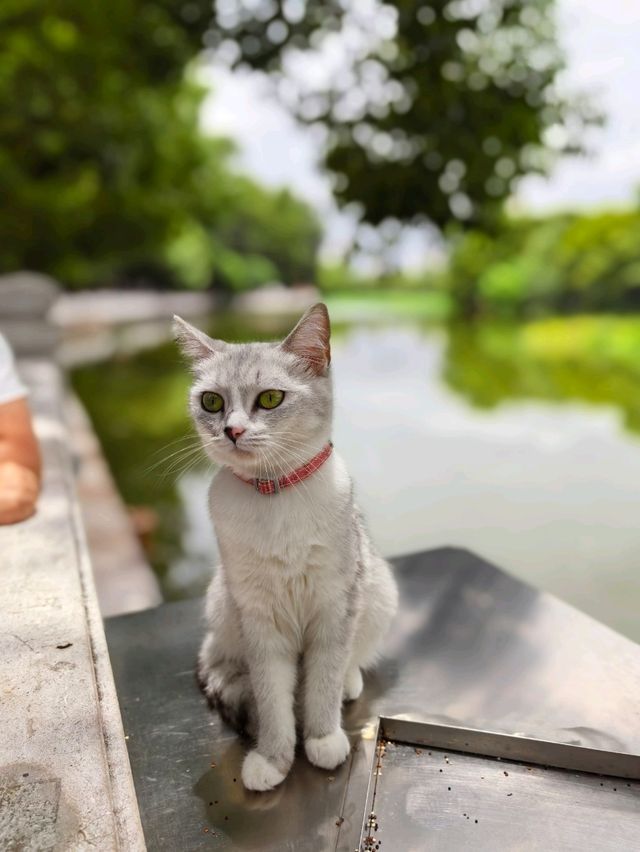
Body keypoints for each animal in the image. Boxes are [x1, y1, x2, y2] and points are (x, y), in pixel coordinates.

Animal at [172, 302, 398, 788]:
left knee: (349, 663)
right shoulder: (259, 618)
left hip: (379, 596)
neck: (274, 494)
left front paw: (322, 739)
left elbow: (323, 683)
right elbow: (272, 698)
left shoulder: (335, 607)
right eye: (212, 402)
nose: (233, 431)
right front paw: (274, 759)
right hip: (223, 607)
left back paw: (349, 683)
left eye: (271, 399)